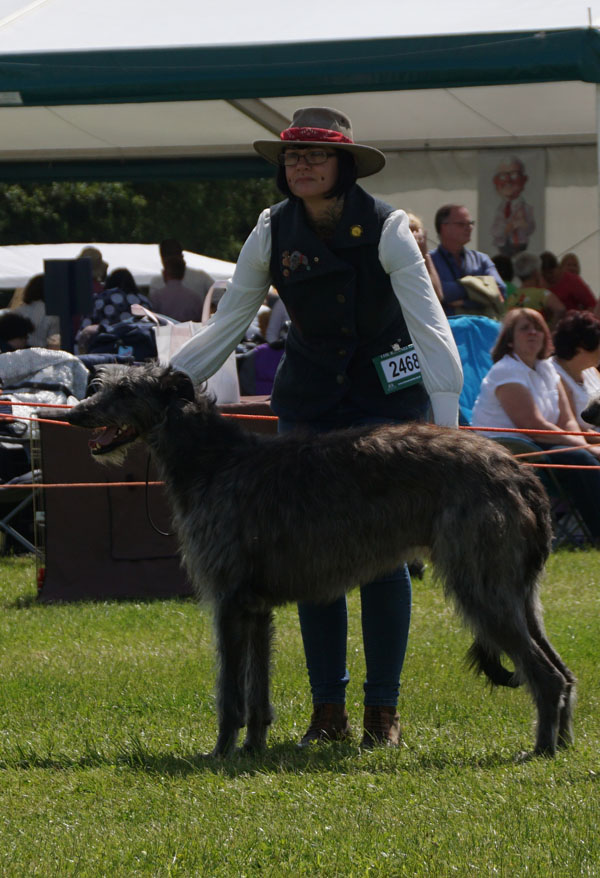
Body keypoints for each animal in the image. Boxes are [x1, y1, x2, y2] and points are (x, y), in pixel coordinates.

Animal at [65, 360, 576, 760]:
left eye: (127, 391)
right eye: (102, 384)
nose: (75, 415)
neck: (214, 460)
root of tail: (521, 473)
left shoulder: (228, 600)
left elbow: (230, 690)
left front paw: (219, 752)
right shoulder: (255, 607)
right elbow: (257, 690)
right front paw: (252, 749)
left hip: (480, 583)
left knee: (547, 675)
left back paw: (539, 749)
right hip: (516, 591)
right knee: (564, 671)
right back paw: (564, 743)